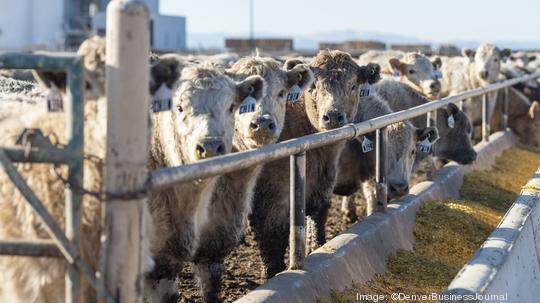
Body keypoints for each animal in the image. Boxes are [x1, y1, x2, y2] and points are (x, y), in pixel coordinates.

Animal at [249, 50, 380, 280]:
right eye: (313, 87)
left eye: (353, 85)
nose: (333, 116)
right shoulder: (268, 205)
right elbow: (272, 250)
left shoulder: (321, 192)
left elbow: (317, 228)